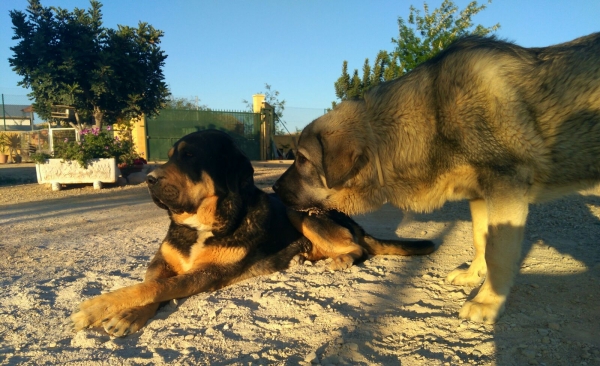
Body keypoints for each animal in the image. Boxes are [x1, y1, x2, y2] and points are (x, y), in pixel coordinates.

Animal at [71, 129, 436, 338]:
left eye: (190, 156)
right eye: (171, 156)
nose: (149, 179)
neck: (203, 222)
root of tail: (355, 223)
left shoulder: (209, 273)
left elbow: (157, 288)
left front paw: (98, 307)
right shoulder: (162, 261)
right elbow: (151, 284)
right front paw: (128, 314)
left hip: (299, 212)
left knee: (359, 248)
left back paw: (340, 260)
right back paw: (305, 257)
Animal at [274, 32, 600, 324]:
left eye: (302, 159)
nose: (274, 188)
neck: (433, 113)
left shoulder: (505, 187)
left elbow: (497, 251)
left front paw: (488, 301)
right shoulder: (480, 195)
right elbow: (481, 239)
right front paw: (473, 275)